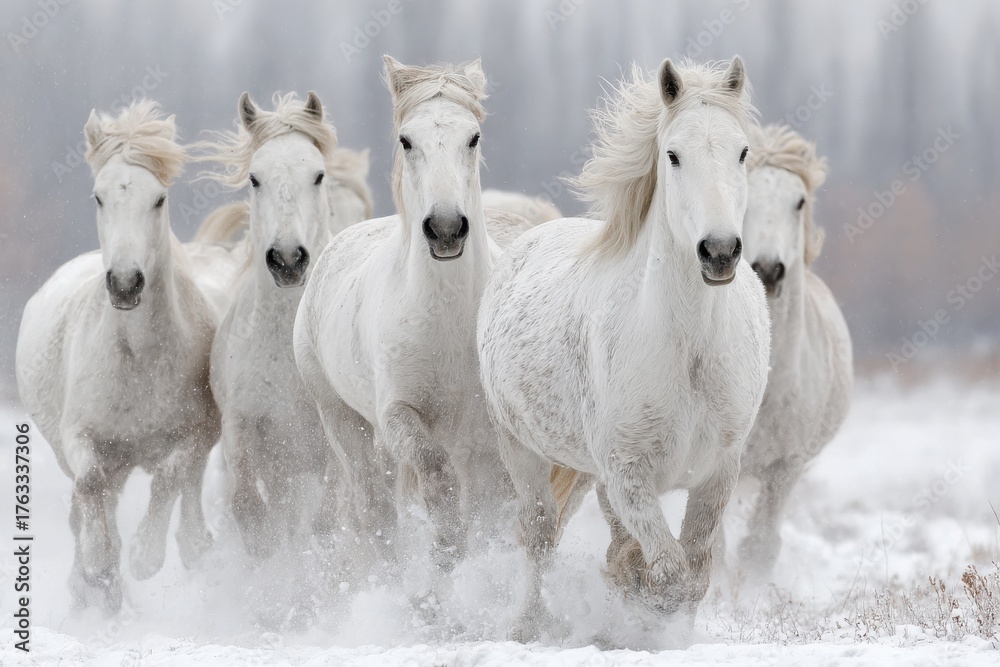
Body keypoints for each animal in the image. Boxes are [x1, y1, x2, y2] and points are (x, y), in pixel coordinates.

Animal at [15, 100, 220, 612]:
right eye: (98, 197)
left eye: (159, 199)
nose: (125, 284)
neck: (140, 358)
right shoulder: (82, 438)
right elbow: (92, 486)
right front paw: (97, 567)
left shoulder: (196, 433)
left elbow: (170, 475)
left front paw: (144, 556)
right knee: (91, 498)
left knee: (187, 493)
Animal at [195, 91, 344, 560]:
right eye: (255, 179)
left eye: (318, 175)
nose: (288, 259)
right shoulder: (243, 429)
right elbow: (253, 517)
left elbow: (328, 523)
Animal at [294, 57, 528, 585]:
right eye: (406, 140)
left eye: (473, 137)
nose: (445, 228)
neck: (453, 322)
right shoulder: (400, 416)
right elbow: (436, 480)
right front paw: (445, 563)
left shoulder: (491, 435)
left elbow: (496, 506)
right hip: (344, 424)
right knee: (373, 506)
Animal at [476, 57, 771, 637]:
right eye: (672, 155)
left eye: (743, 151)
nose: (719, 252)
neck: (686, 349)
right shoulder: (628, 474)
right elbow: (667, 572)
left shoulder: (717, 473)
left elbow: (692, 574)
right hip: (522, 449)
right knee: (540, 534)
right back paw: (529, 626)